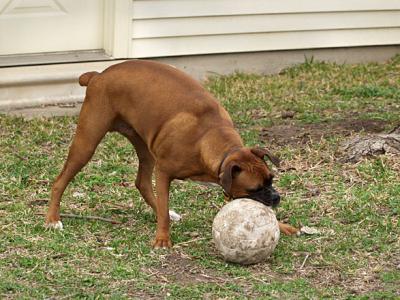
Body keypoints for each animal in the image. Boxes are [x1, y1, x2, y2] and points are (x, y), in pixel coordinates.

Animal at [45, 59, 298, 247]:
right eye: (254, 189)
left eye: (271, 179)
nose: (276, 197)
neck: (207, 137)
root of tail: (98, 75)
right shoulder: (164, 172)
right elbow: (164, 207)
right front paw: (162, 238)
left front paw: (282, 226)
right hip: (87, 143)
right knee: (60, 181)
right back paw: (53, 220)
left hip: (145, 148)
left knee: (142, 182)